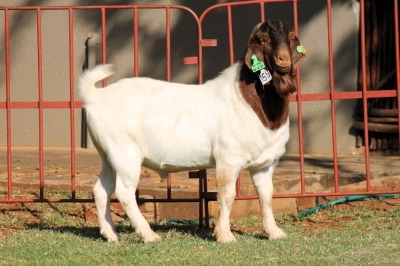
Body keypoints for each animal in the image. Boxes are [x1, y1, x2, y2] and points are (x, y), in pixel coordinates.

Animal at [80, 18, 306, 243]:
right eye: (263, 40)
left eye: (291, 37)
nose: (283, 59)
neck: (249, 100)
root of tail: (96, 97)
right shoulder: (228, 159)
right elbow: (227, 194)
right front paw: (224, 235)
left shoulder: (265, 164)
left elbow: (266, 195)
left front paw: (275, 232)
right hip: (124, 152)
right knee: (124, 192)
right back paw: (149, 235)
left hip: (108, 155)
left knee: (101, 189)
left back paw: (111, 234)